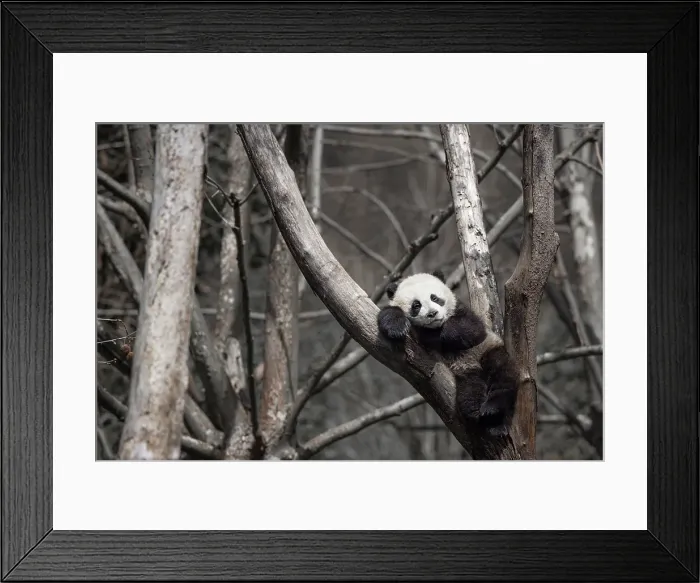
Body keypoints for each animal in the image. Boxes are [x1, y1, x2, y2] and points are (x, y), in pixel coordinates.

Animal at [377, 269, 519, 437]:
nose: (432, 313)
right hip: (468, 375)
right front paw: (397, 327)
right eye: (416, 305)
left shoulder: (461, 311)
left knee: (503, 372)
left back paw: (493, 412)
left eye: (434, 297)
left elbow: (472, 329)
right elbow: (389, 314)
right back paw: (475, 410)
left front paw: (432, 335)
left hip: (487, 350)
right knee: (470, 389)